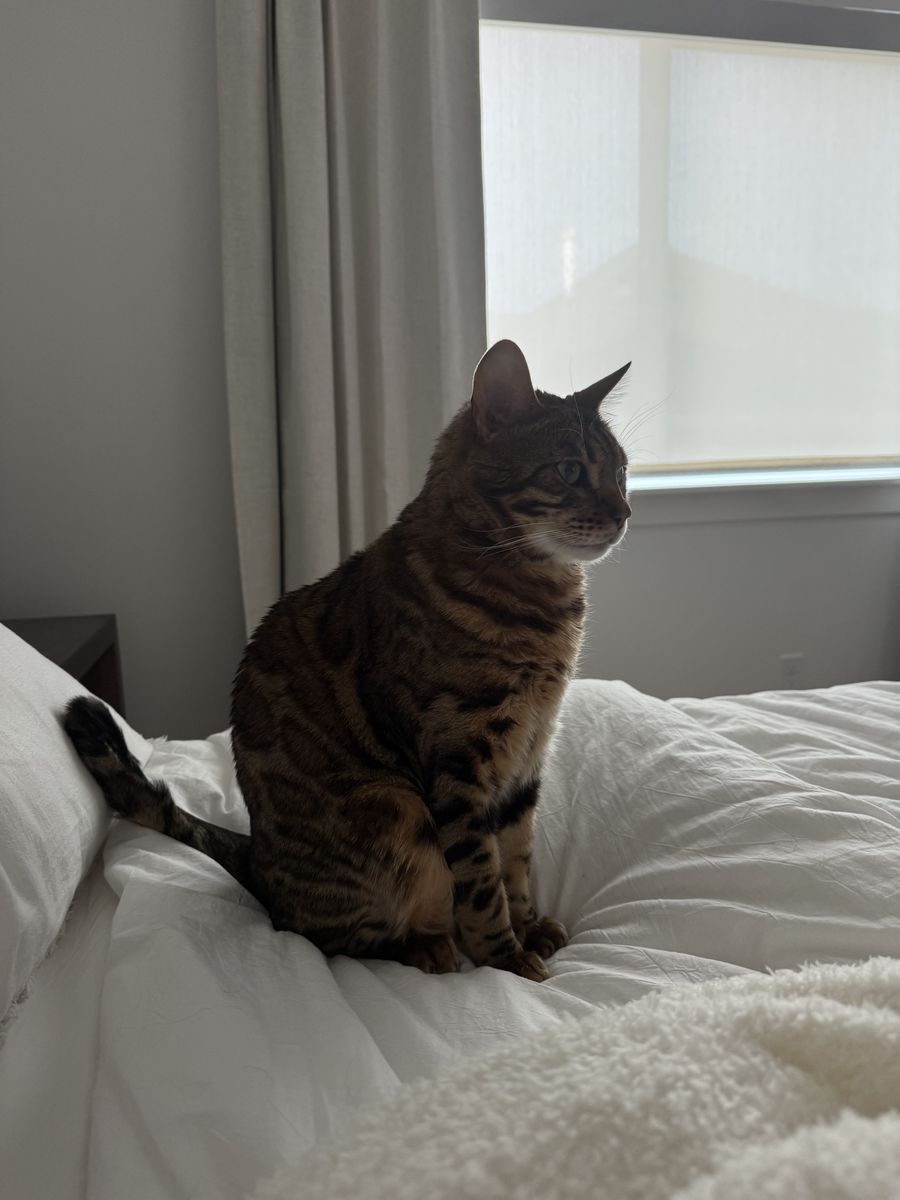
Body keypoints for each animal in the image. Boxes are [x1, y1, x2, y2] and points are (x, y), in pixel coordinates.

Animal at [64, 340, 631, 981]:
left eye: (620, 471)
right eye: (570, 470)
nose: (625, 511)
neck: (543, 608)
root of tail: (257, 860)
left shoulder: (527, 758)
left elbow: (516, 859)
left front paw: (531, 926)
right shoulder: (460, 761)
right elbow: (482, 882)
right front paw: (507, 959)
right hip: (394, 809)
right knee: (329, 938)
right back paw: (426, 947)